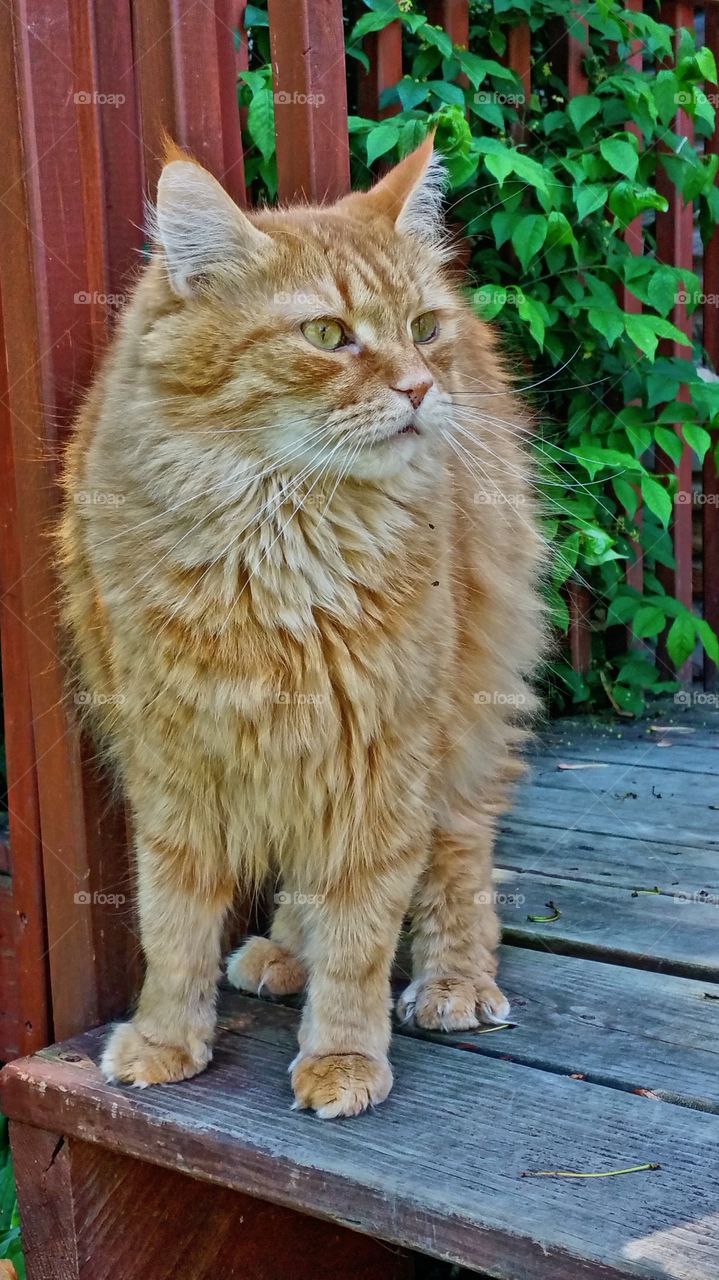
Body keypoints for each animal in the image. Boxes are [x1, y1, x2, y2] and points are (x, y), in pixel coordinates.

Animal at [58, 137, 542, 1121]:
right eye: (326, 336)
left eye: (418, 328)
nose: (420, 387)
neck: (277, 543)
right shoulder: (175, 768)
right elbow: (173, 927)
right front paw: (167, 1038)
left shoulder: (385, 755)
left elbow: (360, 933)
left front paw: (345, 1057)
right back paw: (283, 951)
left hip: (462, 716)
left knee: (459, 853)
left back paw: (453, 981)